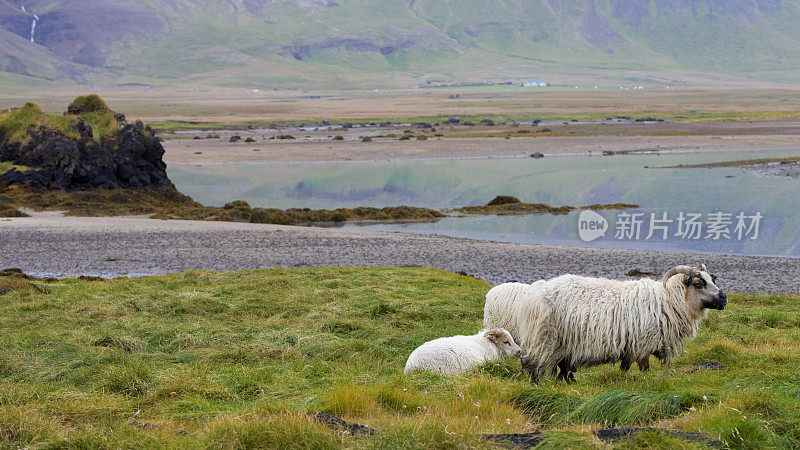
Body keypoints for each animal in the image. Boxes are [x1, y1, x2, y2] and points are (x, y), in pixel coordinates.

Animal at [484, 264, 728, 384]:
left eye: (712, 280)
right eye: (699, 282)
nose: (724, 298)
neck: (667, 299)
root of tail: (531, 294)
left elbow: (628, 366)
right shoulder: (643, 344)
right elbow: (643, 368)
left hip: (561, 344)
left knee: (561, 367)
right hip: (545, 338)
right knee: (533, 364)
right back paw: (537, 384)